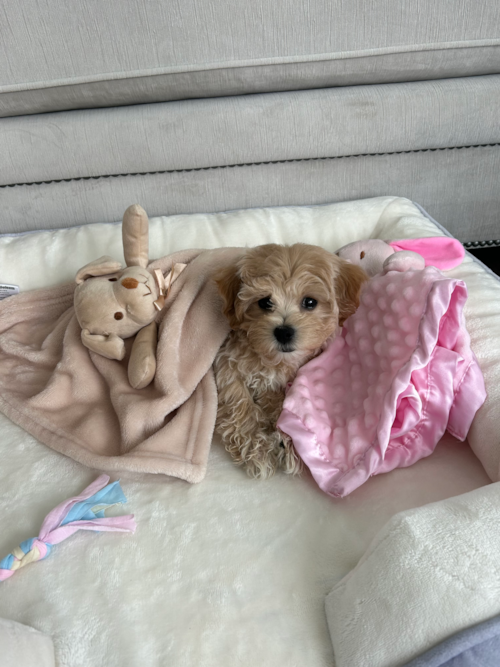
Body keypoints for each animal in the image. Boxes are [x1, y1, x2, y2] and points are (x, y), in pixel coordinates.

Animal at [212, 244, 368, 480]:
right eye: (265, 302)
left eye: (310, 302)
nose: (284, 332)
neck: (274, 361)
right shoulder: (226, 365)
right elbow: (239, 403)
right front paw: (257, 449)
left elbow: (281, 403)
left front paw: (289, 441)